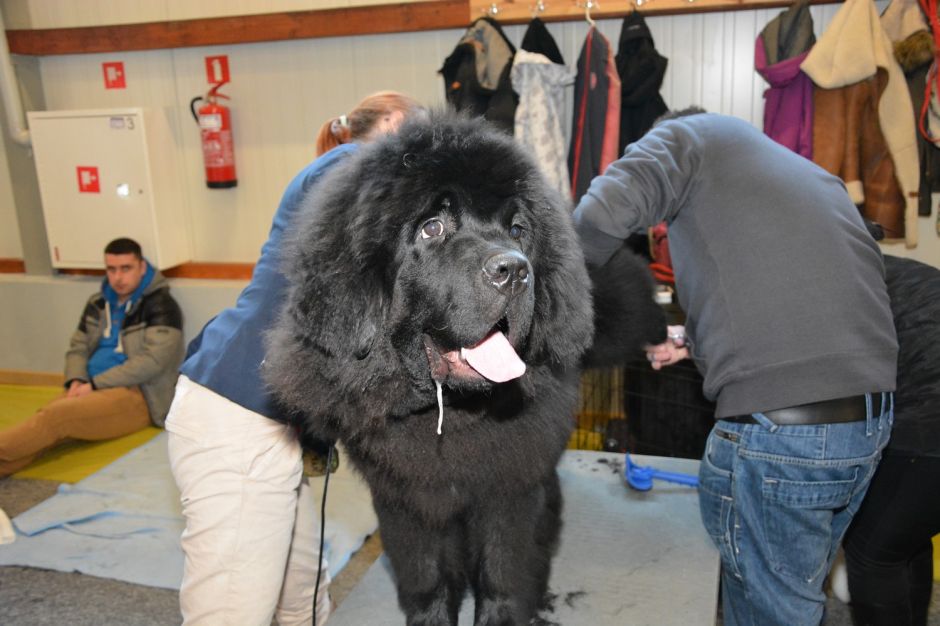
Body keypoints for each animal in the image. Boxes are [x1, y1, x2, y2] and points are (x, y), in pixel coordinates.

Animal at [264, 112, 664, 624]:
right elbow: (427, 576)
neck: (453, 418)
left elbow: (502, 573)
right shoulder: (406, 500)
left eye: (517, 230)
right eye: (432, 228)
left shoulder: (510, 490)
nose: (514, 271)